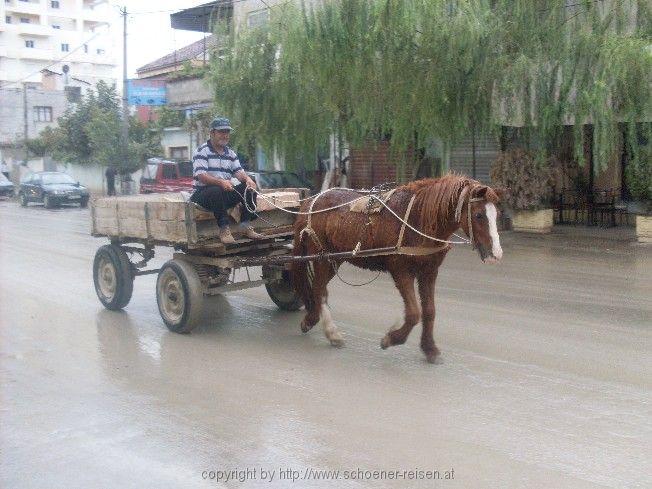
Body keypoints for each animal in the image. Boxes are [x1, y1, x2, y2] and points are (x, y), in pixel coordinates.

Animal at [292, 173, 504, 362]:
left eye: (497, 215)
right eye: (479, 215)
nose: (496, 254)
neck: (418, 218)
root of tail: (309, 203)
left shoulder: (429, 271)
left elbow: (429, 311)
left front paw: (429, 348)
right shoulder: (401, 271)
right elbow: (413, 313)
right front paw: (392, 339)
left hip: (335, 259)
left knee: (318, 289)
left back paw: (312, 319)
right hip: (321, 257)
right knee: (319, 290)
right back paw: (329, 331)